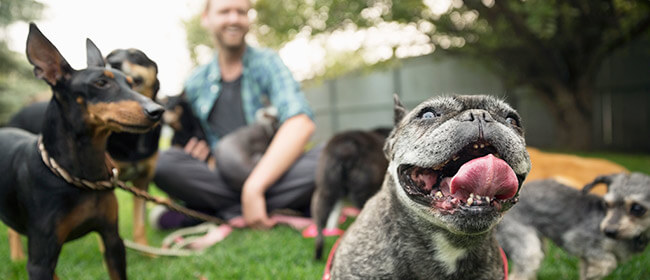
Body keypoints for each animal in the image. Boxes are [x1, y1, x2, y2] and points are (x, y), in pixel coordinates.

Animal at [0, 24, 161, 278]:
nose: (158, 110)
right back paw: (16, 257)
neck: (82, 175)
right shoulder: (40, 261)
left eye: (130, 83)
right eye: (101, 83)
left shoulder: (113, 239)